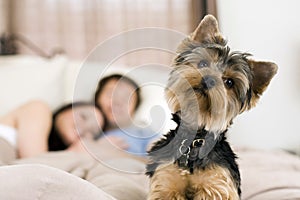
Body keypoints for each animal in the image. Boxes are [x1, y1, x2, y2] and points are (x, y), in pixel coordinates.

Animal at [145, 14, 276, 200]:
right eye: (203, 64)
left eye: (229, 82)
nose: (209, 79)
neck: (193, 143)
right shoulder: (165, 177)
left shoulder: (217, 184)